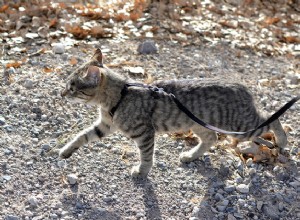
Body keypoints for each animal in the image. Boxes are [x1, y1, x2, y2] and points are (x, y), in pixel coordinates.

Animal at [58, 47, 286, 177]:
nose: (61, 93)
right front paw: (67, 150)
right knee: (211, 138)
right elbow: (82, 135)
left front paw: (142, 171)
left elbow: (146, 156)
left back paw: (283, 141)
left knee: (271, 119)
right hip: (200, 124)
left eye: (72, 87)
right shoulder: (105, 125)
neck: (120, 95)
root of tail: (242, 87)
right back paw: (191, 155)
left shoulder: (144, 133)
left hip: (241, 125)